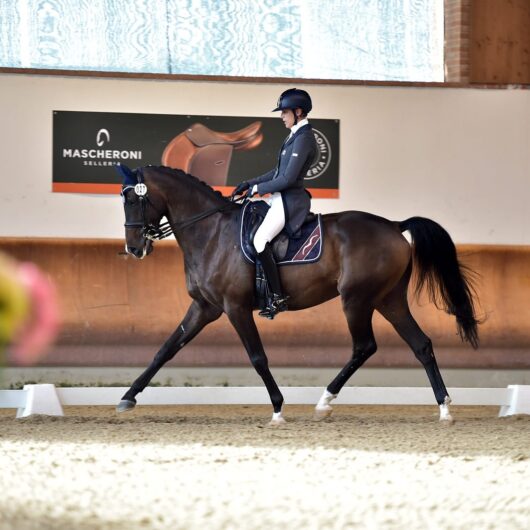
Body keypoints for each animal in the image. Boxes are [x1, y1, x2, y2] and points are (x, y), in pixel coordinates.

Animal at [116, 163, 478, 422]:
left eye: (134, 199)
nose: (133, 249)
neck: (212, 233)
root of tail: (393, 225)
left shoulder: (235, 307)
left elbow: (258, 357)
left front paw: (277, 408)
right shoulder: (205, 307)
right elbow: (165, 349)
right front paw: (127, 397)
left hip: (357, 299)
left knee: (364, 347)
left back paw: (324, 401)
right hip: (389, 300)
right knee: (421, 345)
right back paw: (444, 408)